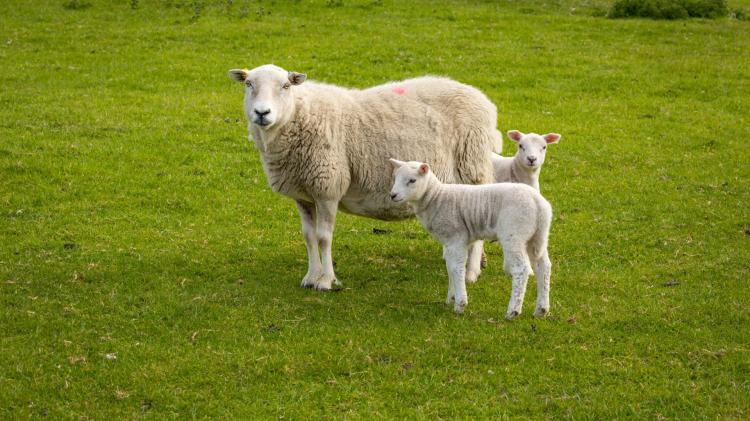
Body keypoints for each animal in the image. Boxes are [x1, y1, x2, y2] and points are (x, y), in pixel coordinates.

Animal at [227, 64, 501, 291]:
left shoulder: (328, 187)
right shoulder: (303, 195)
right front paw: (310, 276)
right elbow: (309, 237)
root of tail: (484, 100)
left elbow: (324, 237)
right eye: (248, 84)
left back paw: (471, 272)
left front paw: (326, 281)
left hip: (473, 168)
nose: (262, 113)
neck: (299, 114)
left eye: (285, 86)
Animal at [389, 159, 552, 319]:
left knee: (521, 269)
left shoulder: (456, 237)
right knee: (543, 266)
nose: (393, 195)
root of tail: (539, 204)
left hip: (514, 233)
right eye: (395, 178)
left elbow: (457, 268)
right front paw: (451, 298)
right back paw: (541, 309)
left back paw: (513, 310)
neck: (436, 198)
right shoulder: (449, 242)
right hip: (536, 237)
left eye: (412, 180)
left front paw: (460, 303)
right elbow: (450, 267)